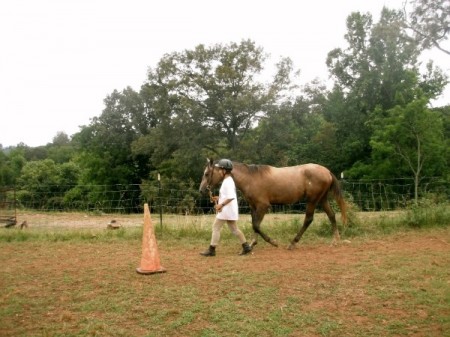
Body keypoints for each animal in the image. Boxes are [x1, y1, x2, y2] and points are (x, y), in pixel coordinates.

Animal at [200, 159, 348, 248]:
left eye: (207, 173)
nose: (201, 190)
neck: (251, 178)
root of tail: (327, 171)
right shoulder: (253, 206)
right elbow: (255, 224)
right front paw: (252, 243)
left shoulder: (263, 206)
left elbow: (256, 225)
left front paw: (272, 242)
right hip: (322, 199)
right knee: (331, 215)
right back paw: (336, 240)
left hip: (312, 200)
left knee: (308, 219)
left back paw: (293, 243)